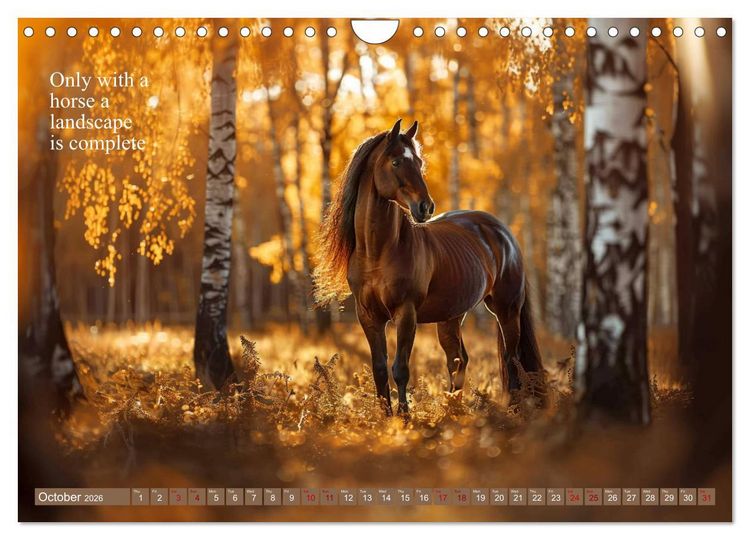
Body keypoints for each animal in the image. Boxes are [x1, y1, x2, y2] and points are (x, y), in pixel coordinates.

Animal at [314, 119, 545, 415]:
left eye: (419, 162)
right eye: (396, 161)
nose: (425, 207)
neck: (379, 252)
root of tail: (504, 233)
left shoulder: (406, 313)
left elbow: (400, 369)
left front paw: (404, 418)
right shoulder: (368, 316)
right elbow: (379, 370)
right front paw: (385, 418)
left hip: (506, 309)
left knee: (510, 358)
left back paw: (513, 409)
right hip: (451, 316)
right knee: (458, 360)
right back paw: (452, 412)